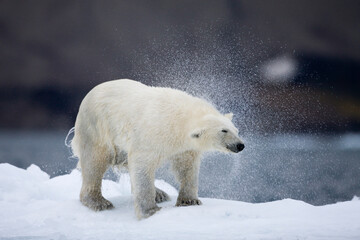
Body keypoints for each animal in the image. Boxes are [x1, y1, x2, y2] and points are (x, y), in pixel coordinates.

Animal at [70, 79, 245, 218]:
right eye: (224, 131)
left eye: (236, 130)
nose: (240, 145)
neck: (178, 118)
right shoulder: (151, 134)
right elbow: (142, 166)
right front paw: (150, 210)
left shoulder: (184, 147)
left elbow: (186, 167)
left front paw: (189, 200)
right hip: (96, 128)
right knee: (94, 162)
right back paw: (99, 202)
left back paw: (160, 193)